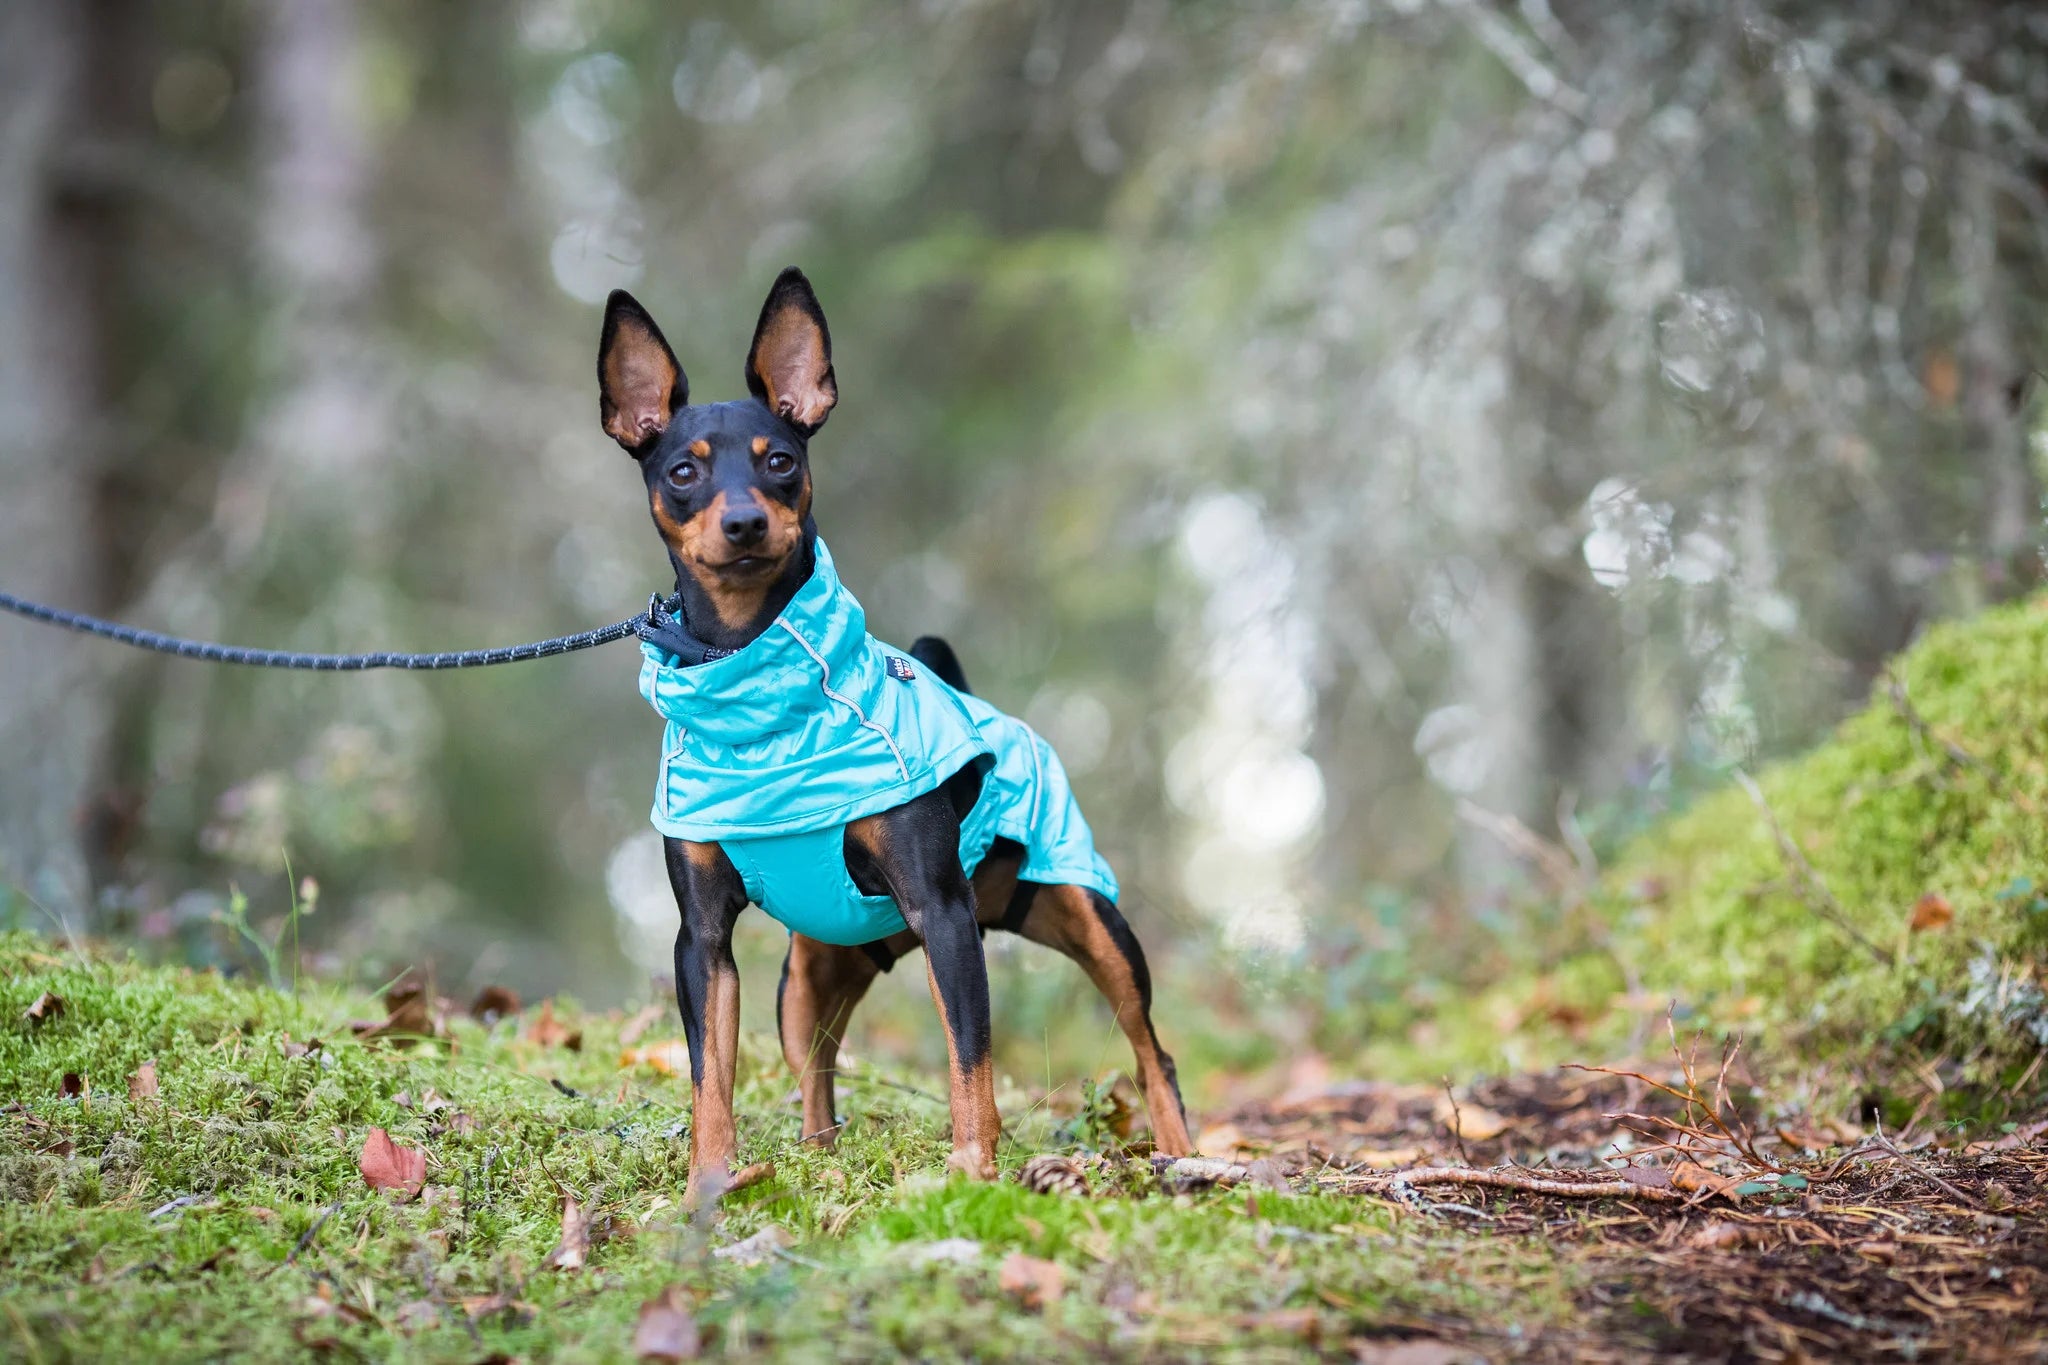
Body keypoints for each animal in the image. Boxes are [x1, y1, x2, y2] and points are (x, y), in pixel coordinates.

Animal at [598, 270, 1196, 1195]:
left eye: (781, 461)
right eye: (683, 471)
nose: (743, 524)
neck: (757, 691)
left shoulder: (941, 908)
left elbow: (969, 1060)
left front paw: (971, 1168)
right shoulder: (702, 942)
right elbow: (709, 1079)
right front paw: (706, 1189)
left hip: (1082, 915)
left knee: (1146, 1047)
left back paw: (1175, 1150)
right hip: (810, 977)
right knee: (819, 1078)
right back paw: (819, 1159)